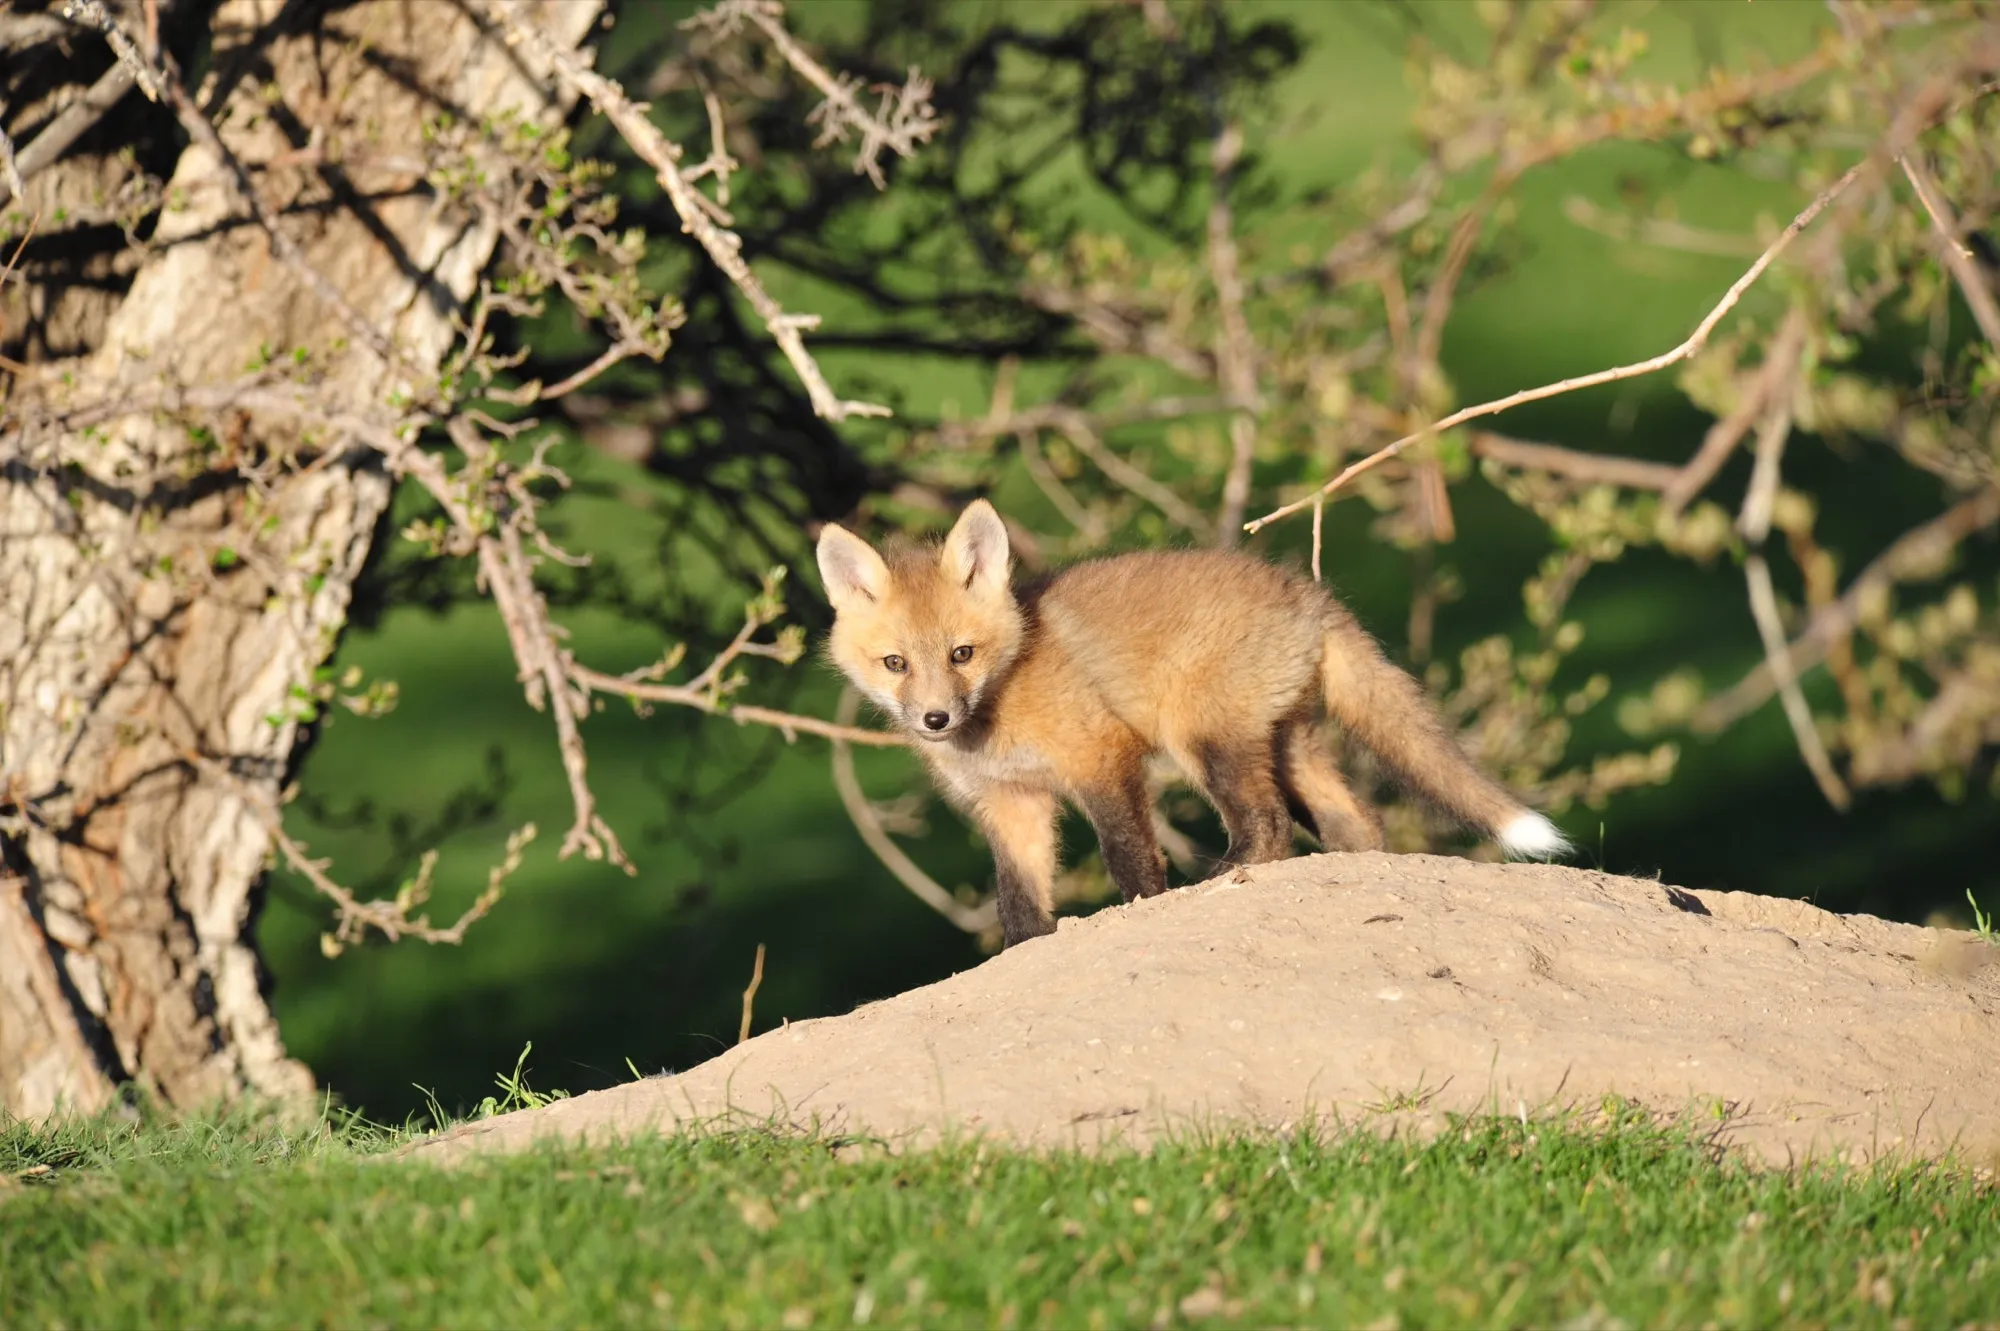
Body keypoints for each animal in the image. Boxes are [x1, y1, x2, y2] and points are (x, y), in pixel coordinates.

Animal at [816, 499, 1571, 948]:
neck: (1002, 705)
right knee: (1354, 823)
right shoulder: (1011, 801)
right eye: (895, 663)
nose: (936, 718)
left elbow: (1128, 854)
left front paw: (1144, 906)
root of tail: (1307, 592)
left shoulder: (1101, 756)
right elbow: (1020, 901)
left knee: (1267, 826)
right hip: (1285, 746)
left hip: (1202, 739)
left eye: (961, 654)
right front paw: (1026, 951)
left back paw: (1222, 877)